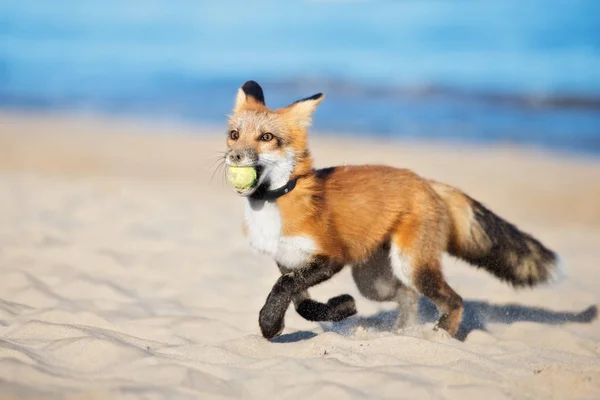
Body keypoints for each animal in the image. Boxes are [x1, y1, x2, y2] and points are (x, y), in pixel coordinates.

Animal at [224, 80, 564, 340]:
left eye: (267, 138)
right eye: (234, 135)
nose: (235, 156)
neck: (274, 204)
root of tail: (425, 181)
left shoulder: (331, 256)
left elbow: (285, 288)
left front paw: (270, 322)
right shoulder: (288, 260)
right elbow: (300, 303)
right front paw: (335, 309)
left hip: (410, 266)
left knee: (453, 300)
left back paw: (439, 336)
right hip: (374, 283)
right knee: (408, 296)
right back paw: (402, 334)